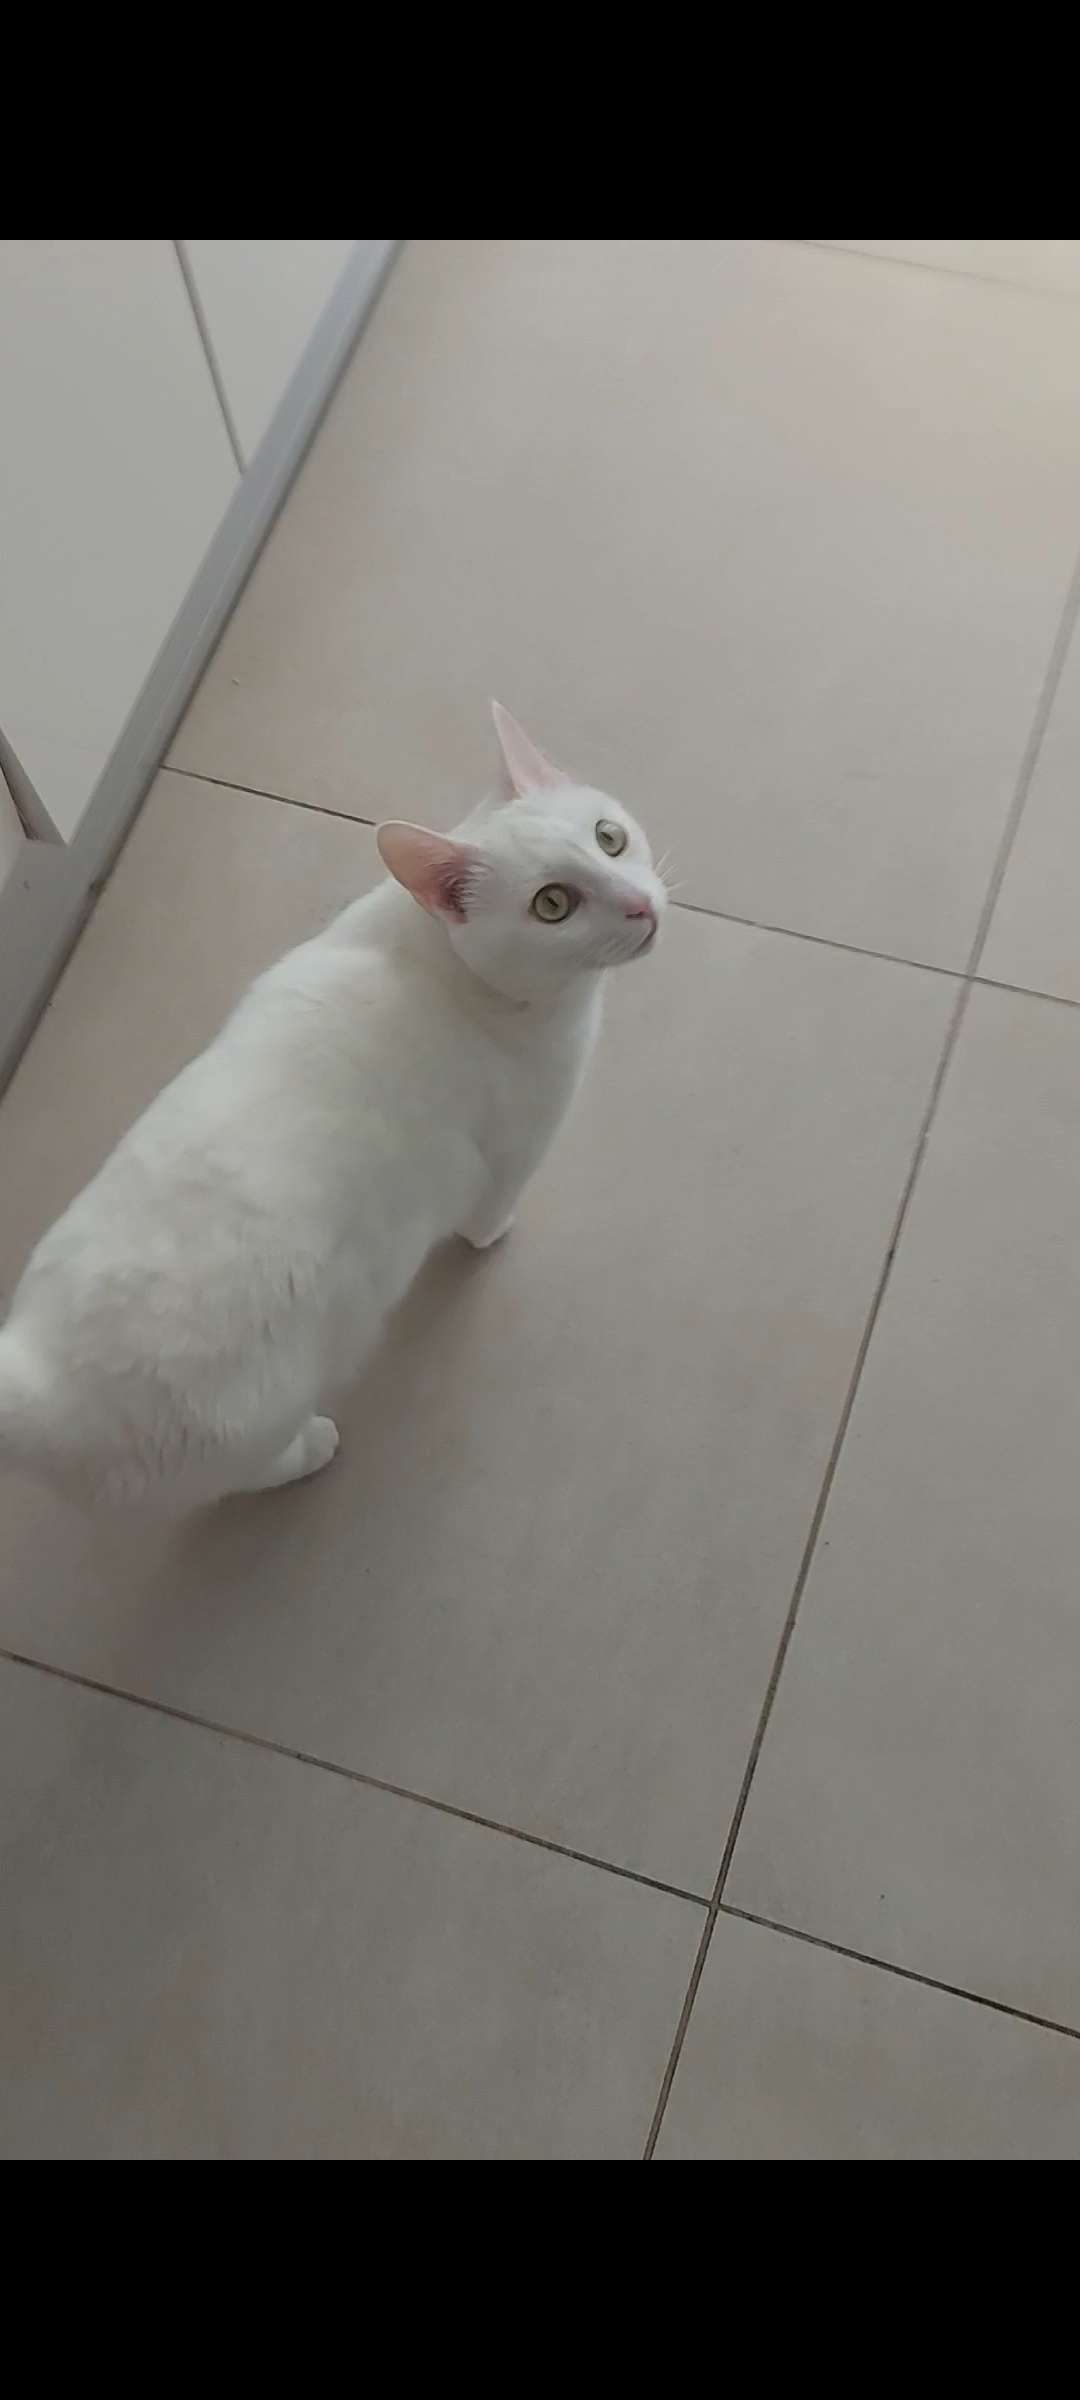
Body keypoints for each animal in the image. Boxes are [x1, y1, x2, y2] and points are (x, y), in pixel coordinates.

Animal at [0, 705, 666, 1510]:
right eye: (553, 904)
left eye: (610, 837)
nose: (640, 903)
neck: (441, 963)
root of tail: (36, 1380)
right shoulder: (515, 1147)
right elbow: (486, 1213)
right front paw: (493, 1236)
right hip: (242, 1430)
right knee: (250, 1473)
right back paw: (315, 1447)